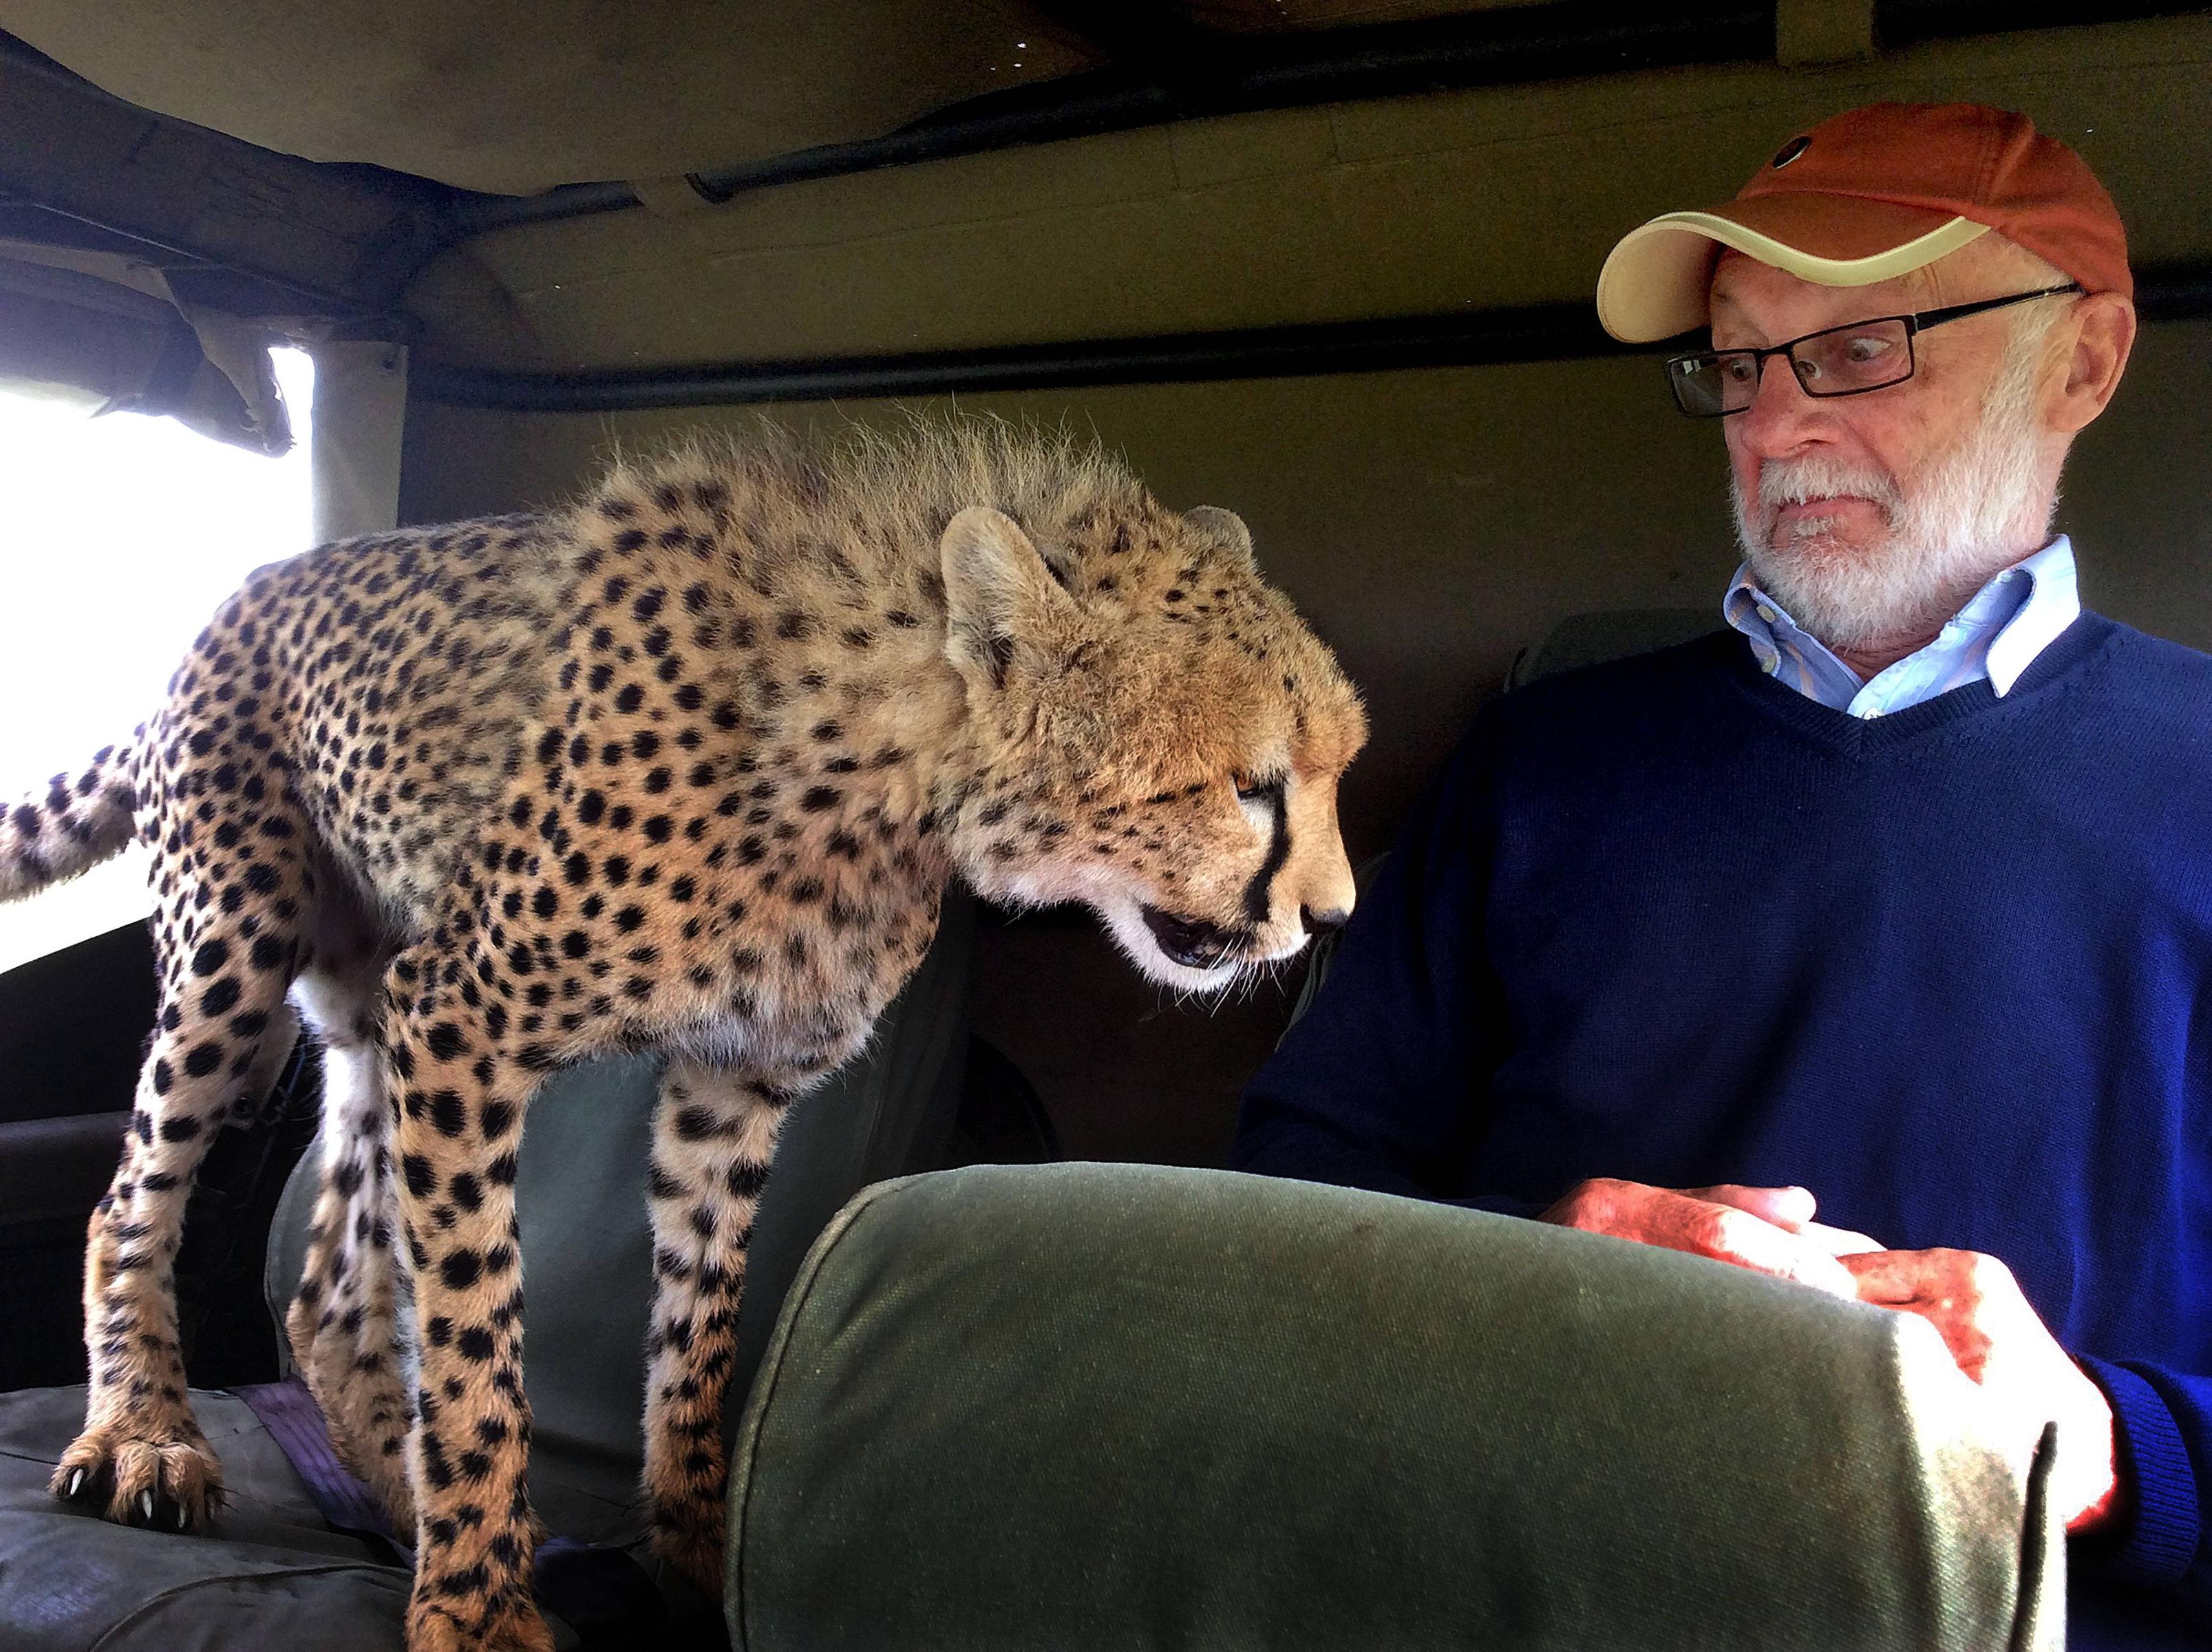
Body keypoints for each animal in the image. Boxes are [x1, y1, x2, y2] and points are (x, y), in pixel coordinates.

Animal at [4, 417, 1367, 1652]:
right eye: (1248, 787)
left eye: (1333, 771)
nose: (1332, 916)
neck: (878, 765)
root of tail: (245, 592)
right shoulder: (458, 1018)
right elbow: (475, 1334)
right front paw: (479, 1609)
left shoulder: (731, 1083)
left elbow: (699, 1334)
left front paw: (696, 1556)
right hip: (237, 952)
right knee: (131, 1196)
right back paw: (150, 1438)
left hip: (358, 1006)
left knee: (331, 1279)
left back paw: (394, 1499)